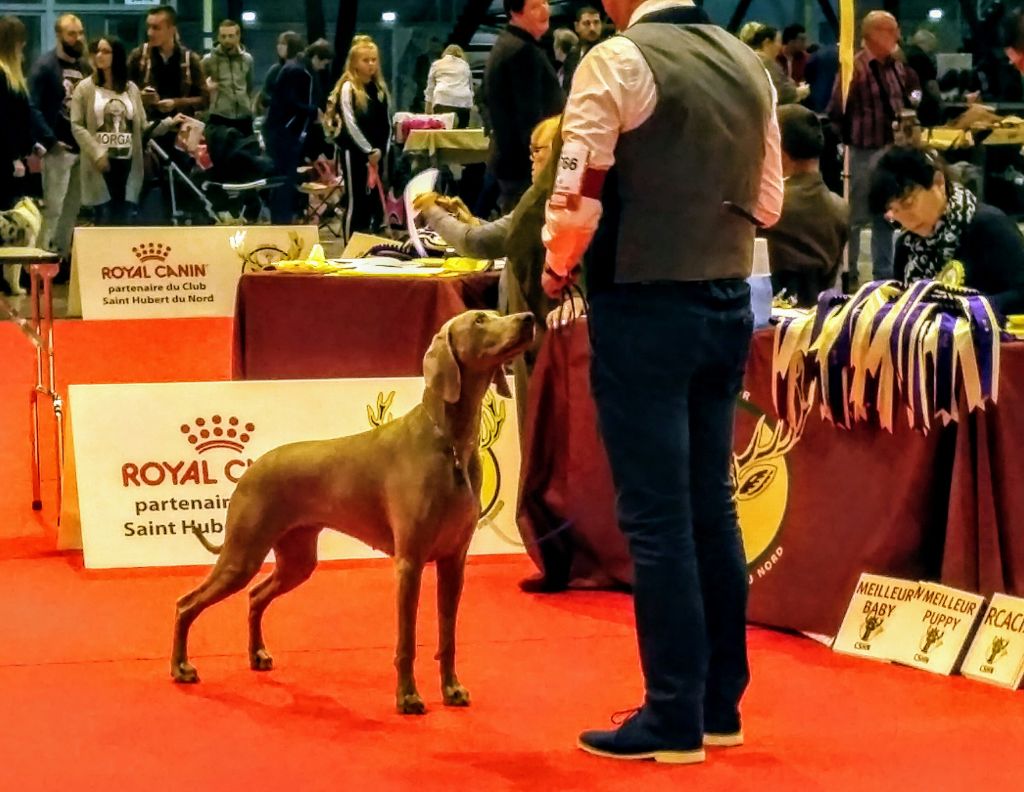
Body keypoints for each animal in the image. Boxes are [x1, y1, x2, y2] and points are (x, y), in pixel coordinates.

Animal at [167, 309, 536, 709]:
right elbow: (407, 641)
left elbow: (448, 636)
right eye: (480, 320)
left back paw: (257, 655)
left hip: (297, 560)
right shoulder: (410, 562)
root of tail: (252, 467)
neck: (452, 444)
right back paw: (181, 668)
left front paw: (451, 689)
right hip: (242, 555)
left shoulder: (454, 562)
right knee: (187, 603)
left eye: (496, 315)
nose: (529, 318)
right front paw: (408, 697)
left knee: (255, 595)